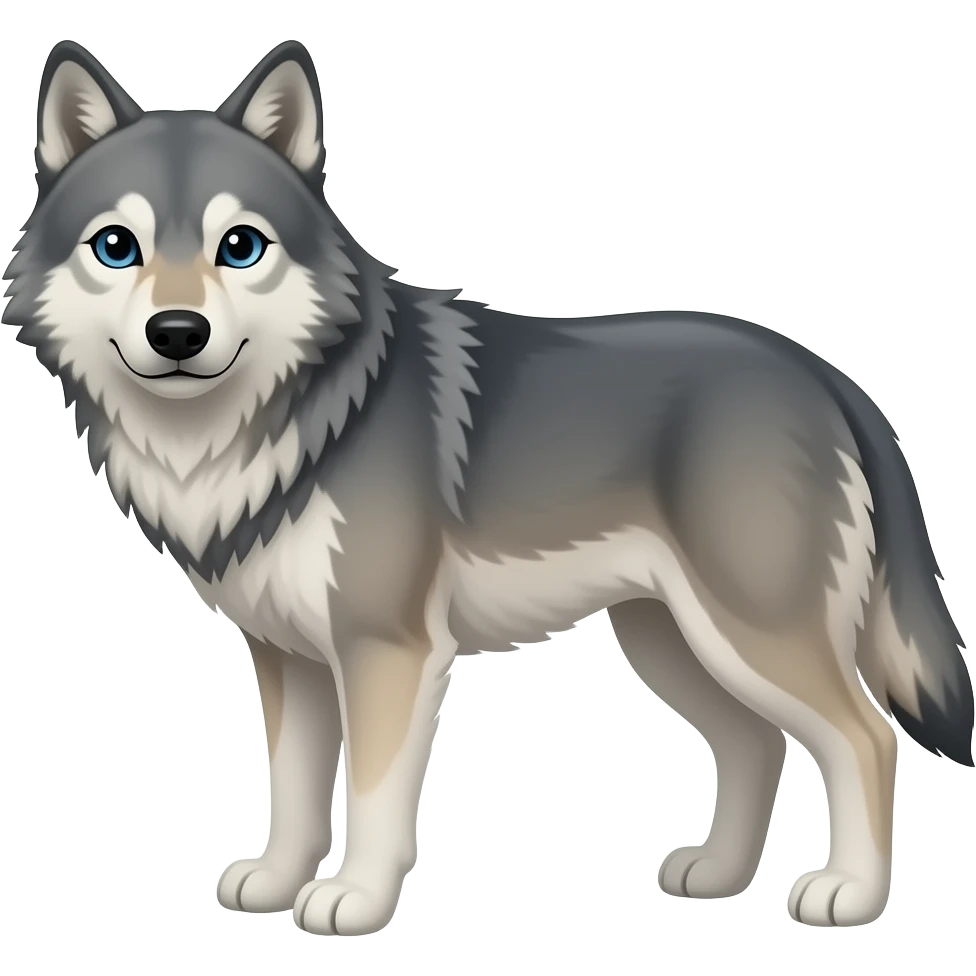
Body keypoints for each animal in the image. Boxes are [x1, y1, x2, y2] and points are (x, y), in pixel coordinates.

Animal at [2, 37, 972, 936]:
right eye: (117, 247)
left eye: (239, 247)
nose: (177, 332)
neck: (277, 424)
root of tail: (825, 374)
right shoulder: (288, 658)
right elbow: (292, 791)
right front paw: (277, 884)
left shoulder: (387, 651)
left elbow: (374, 798)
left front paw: (354, 899)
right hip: (672, 641)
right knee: (757, 742)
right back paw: (718, 875)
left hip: (749, 633)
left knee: (865, 738)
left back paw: (849, 894)